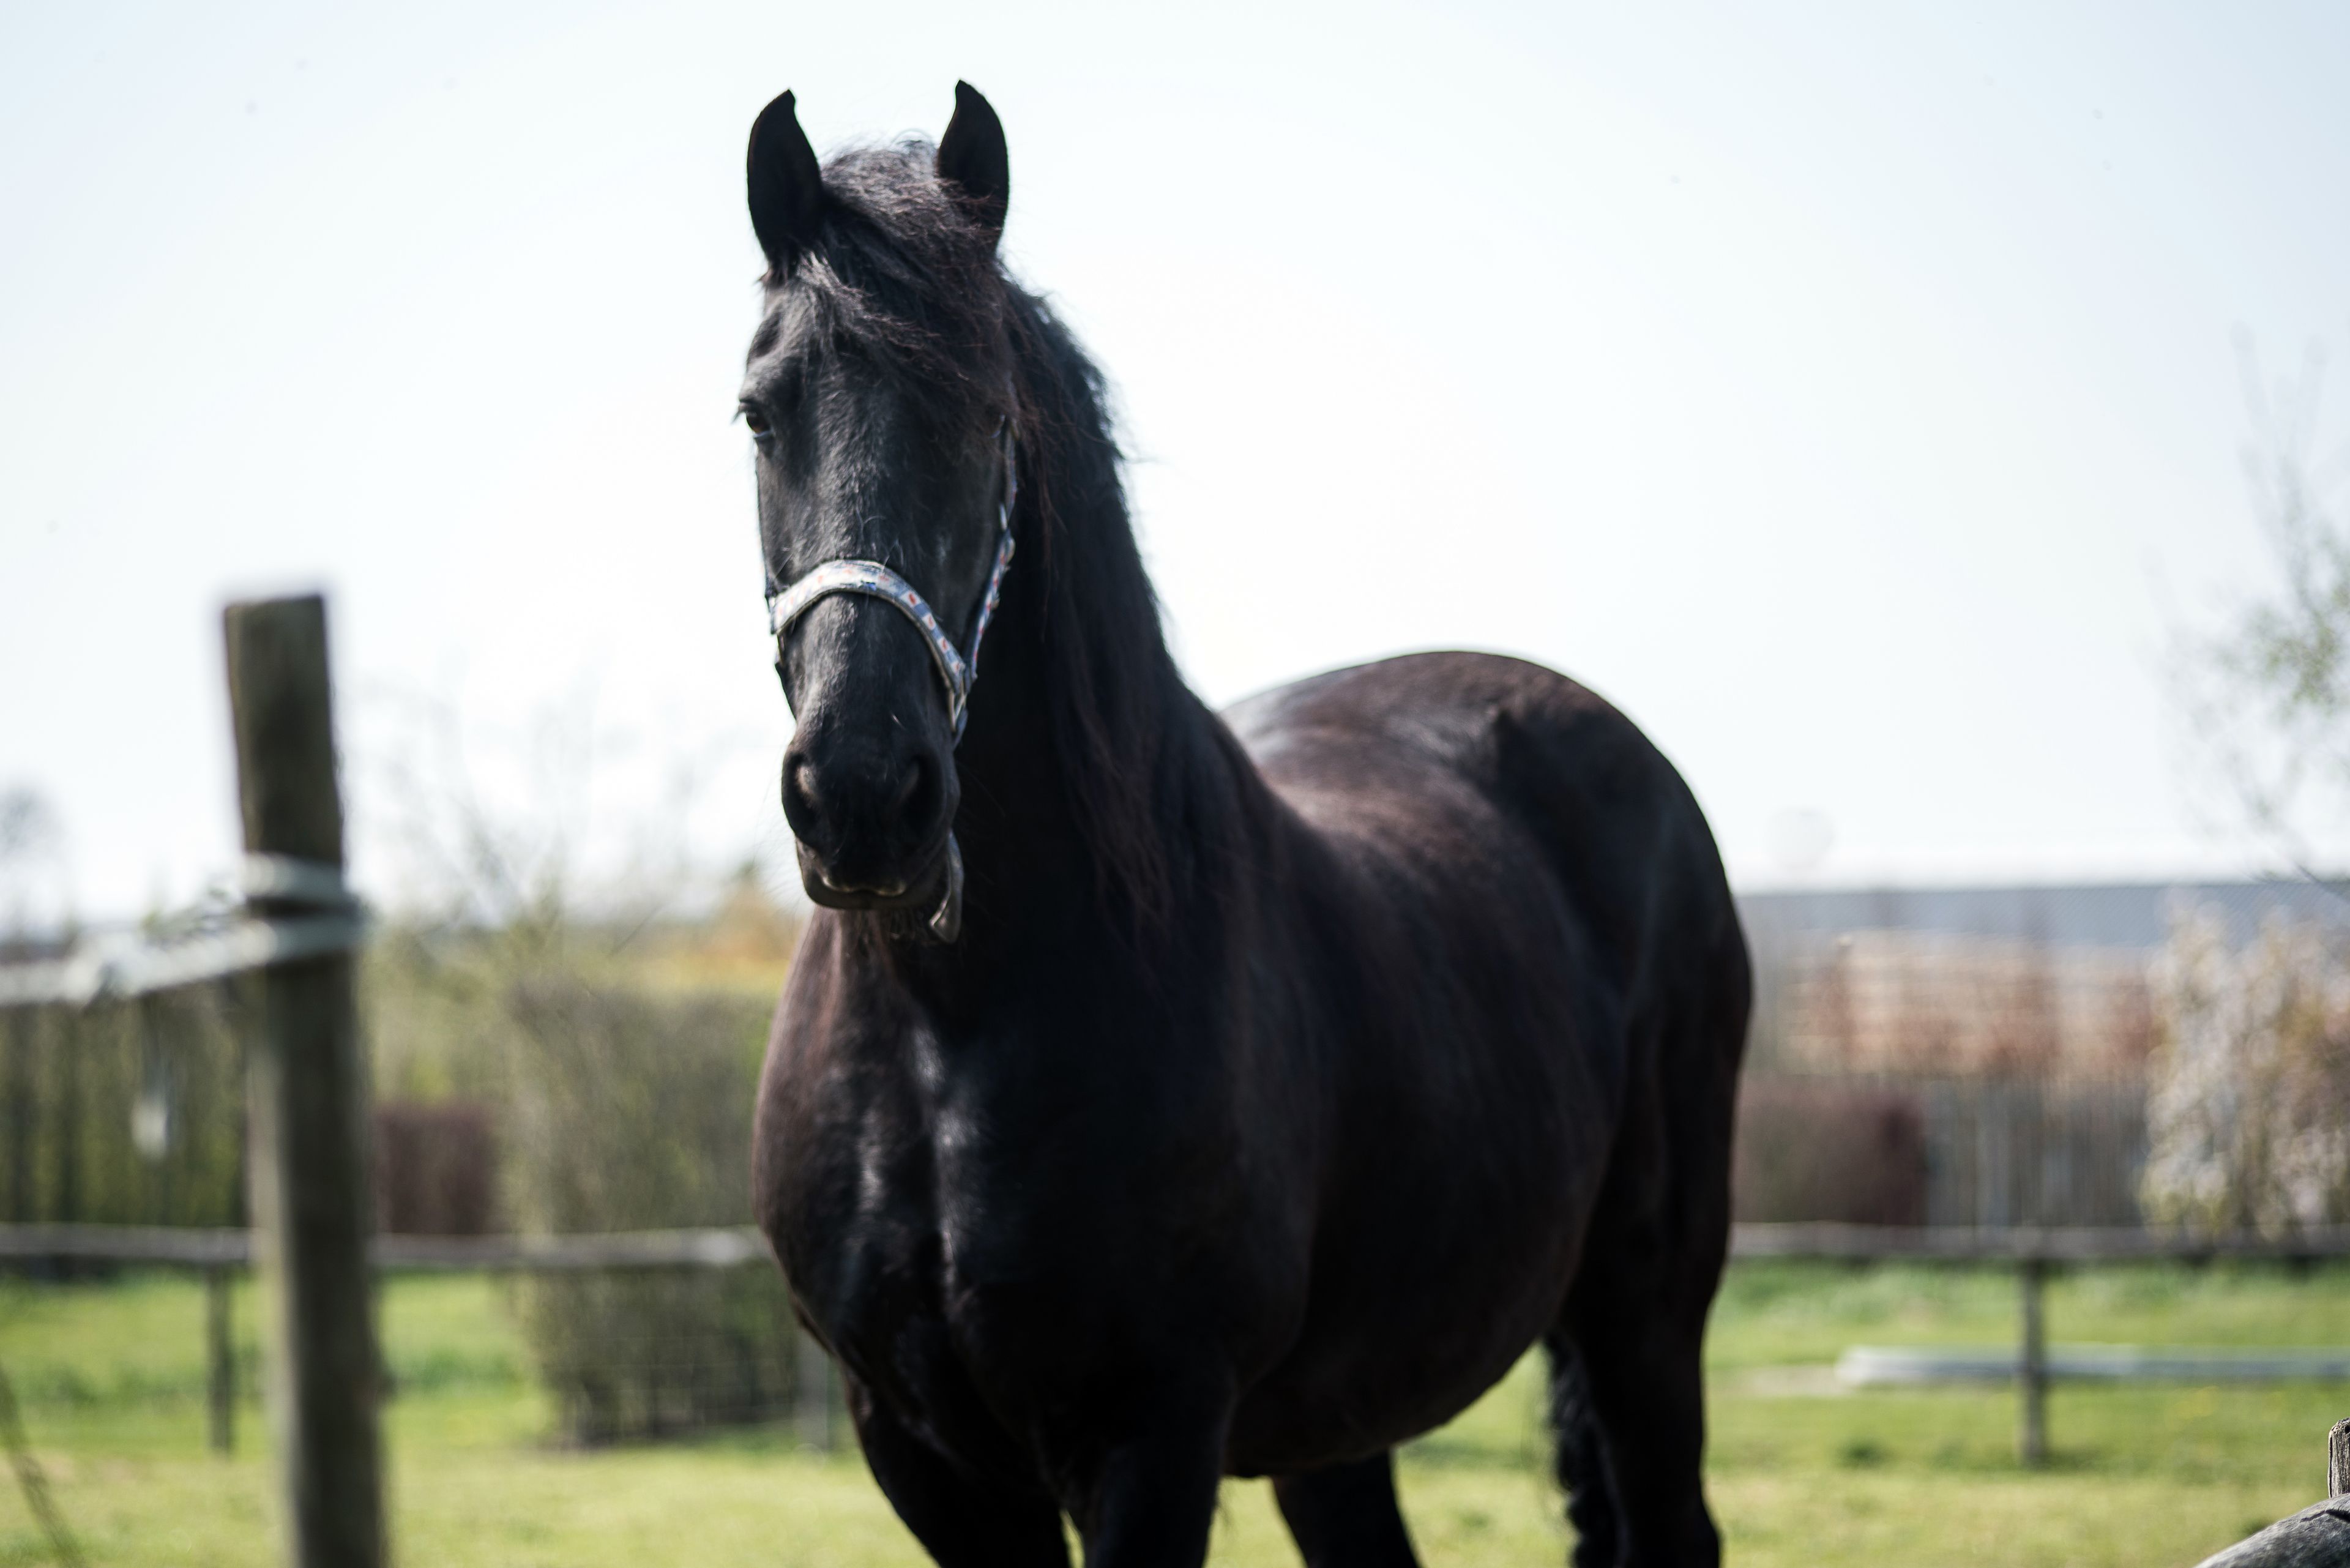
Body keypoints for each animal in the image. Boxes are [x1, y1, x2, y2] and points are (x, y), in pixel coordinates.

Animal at [743, 83, 1750, 1568]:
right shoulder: (923, 1455)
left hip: (1647, 1306)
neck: (953, 1026)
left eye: (987, 410)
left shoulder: (1153, 1437)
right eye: (762, 411)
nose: (865, 795)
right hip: (1344, 1421)